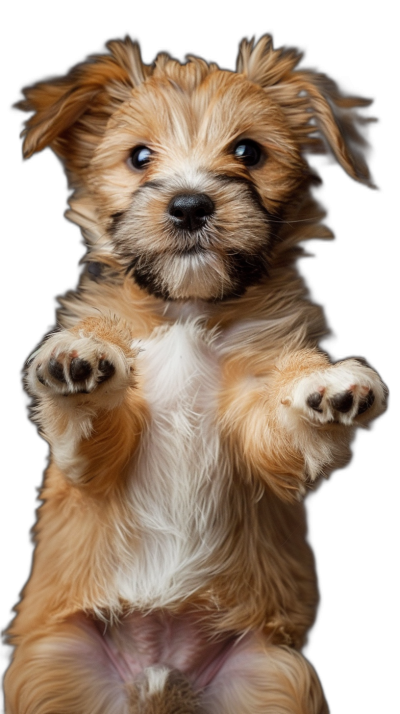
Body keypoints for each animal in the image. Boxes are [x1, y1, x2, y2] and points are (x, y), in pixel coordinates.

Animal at [4, 36, 388, 708]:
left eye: (248, 152)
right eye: (139, 157)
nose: (189, 205)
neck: (187, 311)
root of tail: (162, 677)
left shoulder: (263, 439)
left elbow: (285, 431)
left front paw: (326, 388)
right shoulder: (91, 465)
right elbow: (92, 425)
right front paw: (78, 358)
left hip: (279, 676)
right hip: (50, 669)